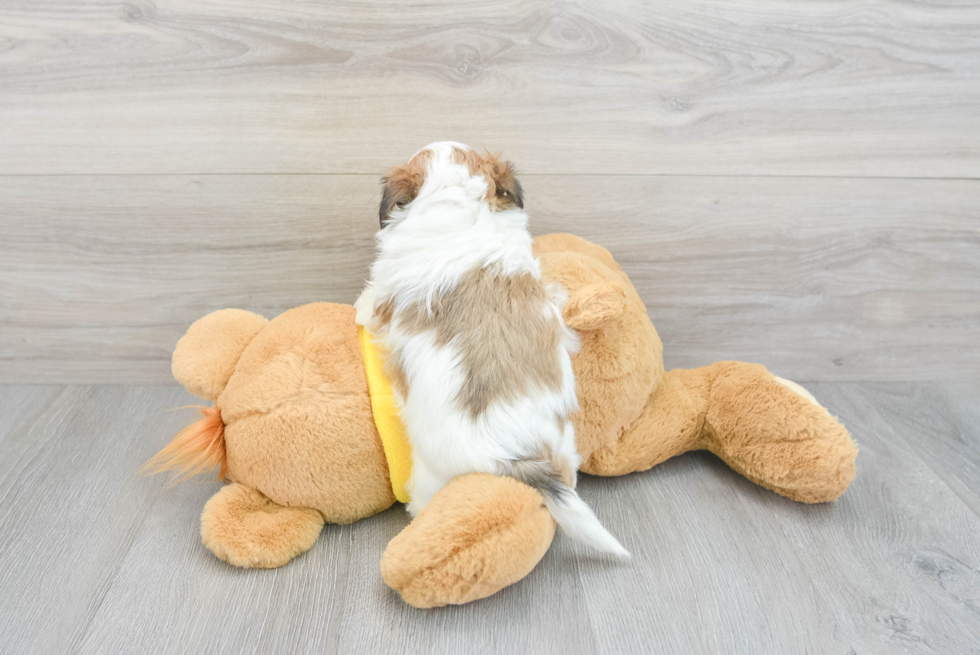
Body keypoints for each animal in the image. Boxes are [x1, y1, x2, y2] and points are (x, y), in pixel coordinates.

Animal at [358, 141, 628, 556]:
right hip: (565, 446)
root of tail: (512, 454)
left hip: (431, 477)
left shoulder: (385, 294)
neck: (459, 208)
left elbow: (370, 302)